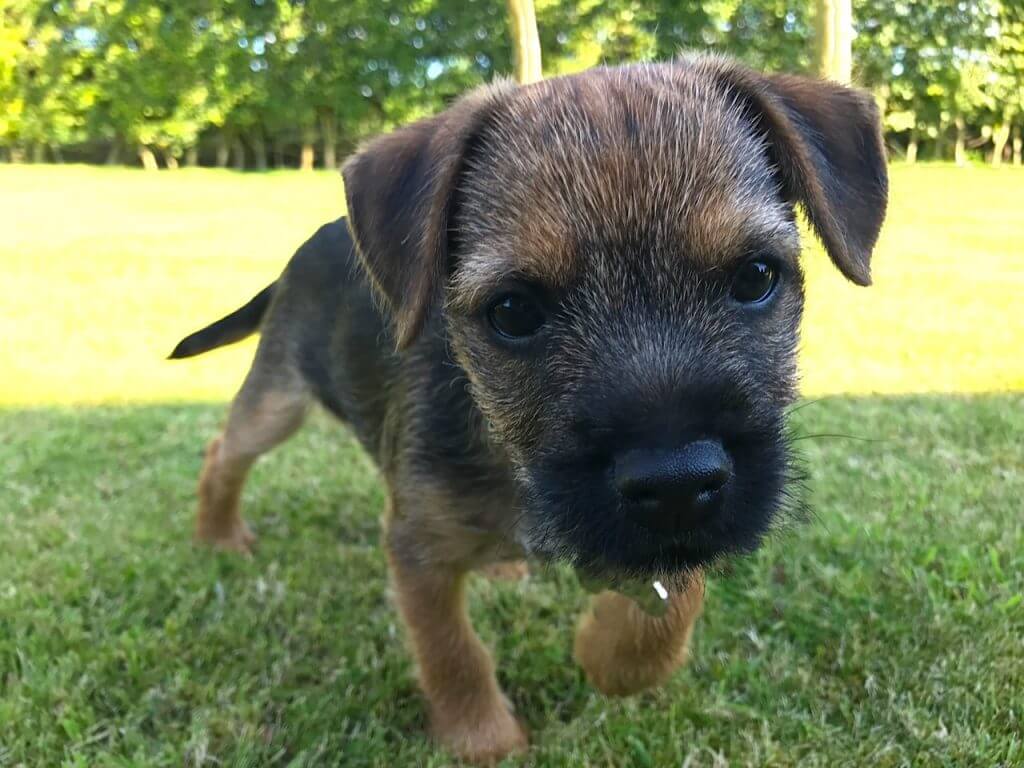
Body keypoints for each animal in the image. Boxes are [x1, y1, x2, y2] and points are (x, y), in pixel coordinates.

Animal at [172, 54, 884, 765]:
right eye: (513, 312)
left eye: (755, 277)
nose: (678, 481)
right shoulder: (417, 548)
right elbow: (451, 652)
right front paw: (484, 739)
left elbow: (671, 603)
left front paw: (608, 653)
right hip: (277, 399)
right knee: (222, 451)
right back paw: (218, 534)